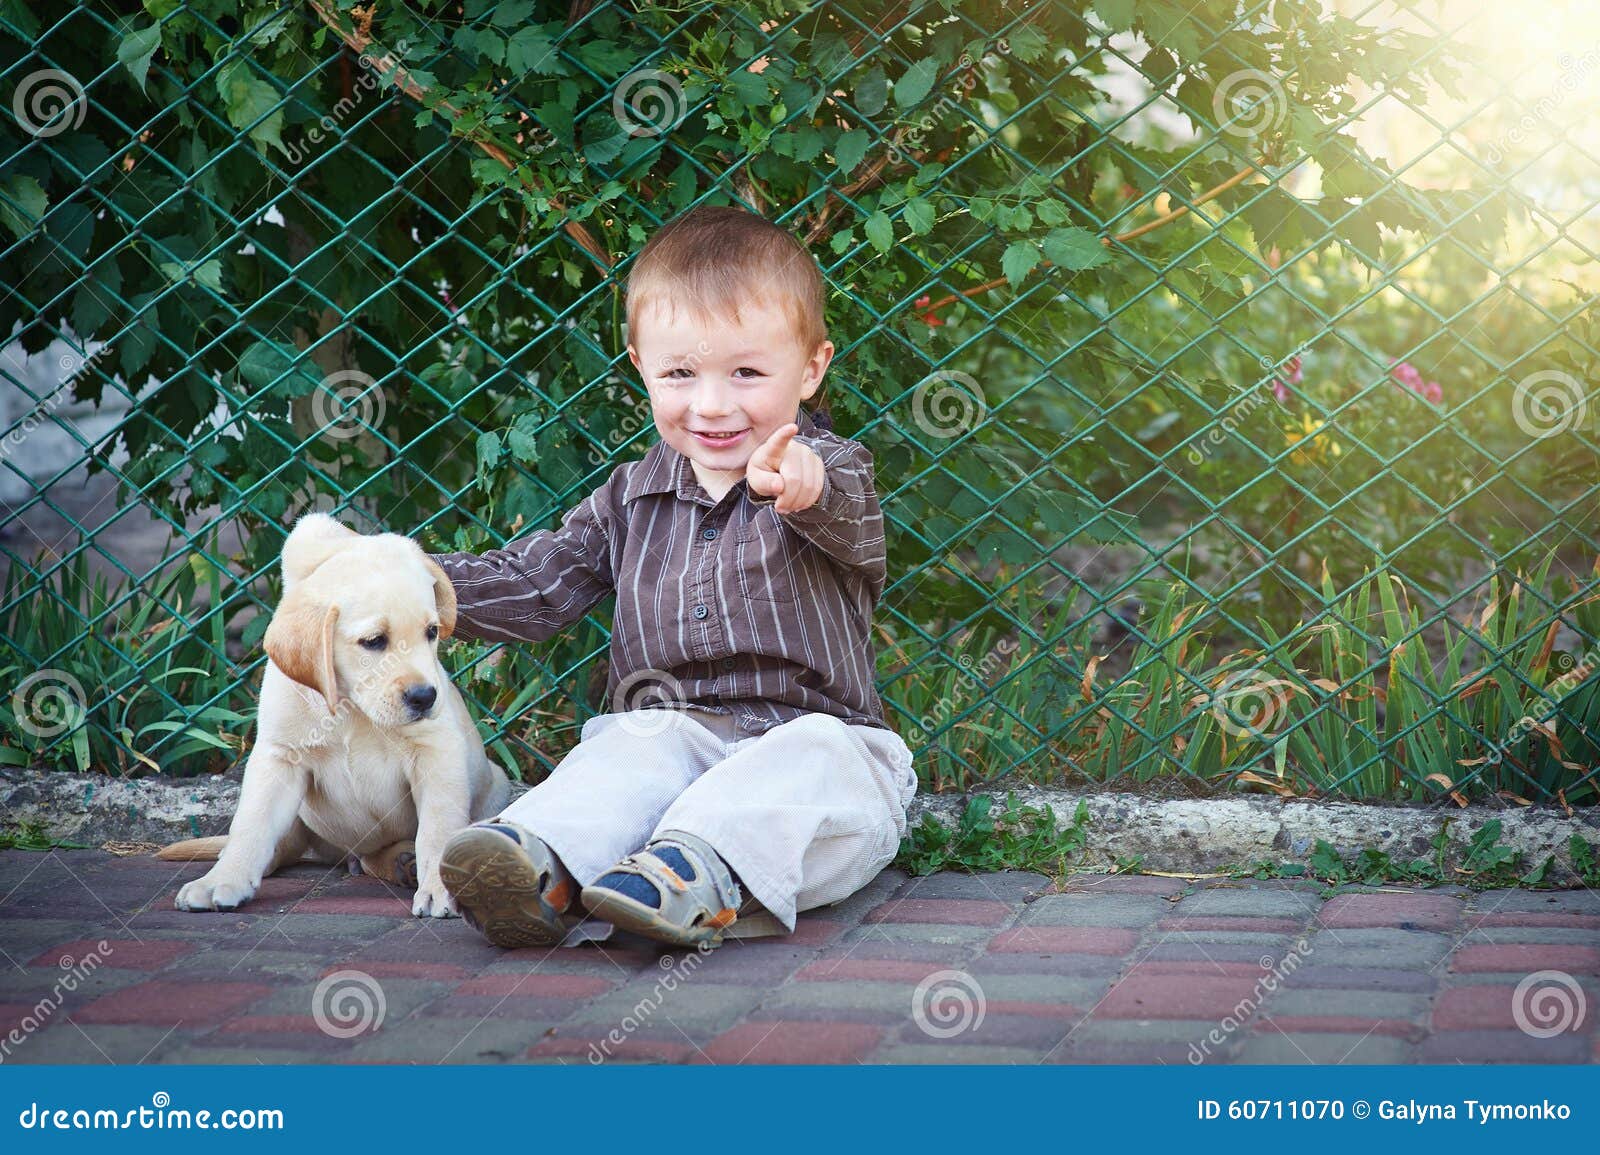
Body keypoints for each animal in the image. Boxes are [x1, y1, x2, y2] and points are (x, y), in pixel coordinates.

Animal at [169, 511, 508, 915]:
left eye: (432, 632)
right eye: (374, 641)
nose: (426, 697)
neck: (352, 710)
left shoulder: (436, 752)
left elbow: (438, 830)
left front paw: (440, 890)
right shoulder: (278, 758)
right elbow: (251, 824)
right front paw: (222, 879)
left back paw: (405, 862)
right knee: (294, 848)